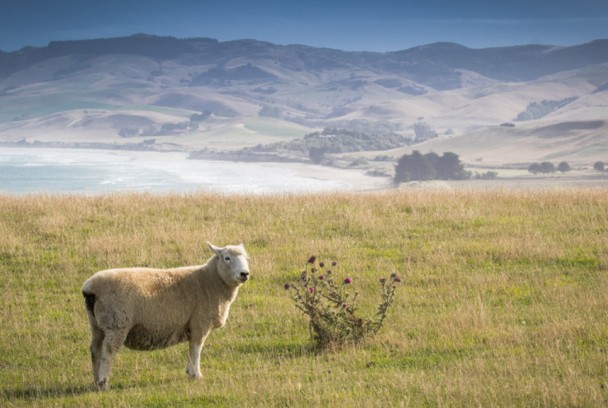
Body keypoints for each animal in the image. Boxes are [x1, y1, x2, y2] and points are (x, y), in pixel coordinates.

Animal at [82, 242, 248, 388]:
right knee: (108, 351)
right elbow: (196, 350)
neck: (211, 281)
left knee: (95, 349)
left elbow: (191, 350)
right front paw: (197, 375)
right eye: (227, 258)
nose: (244, 274)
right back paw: (103, 382)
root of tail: (89, 288)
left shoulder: (192, 326)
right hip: (117, 323)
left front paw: (190, 373)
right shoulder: (199, 324)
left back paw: (96, 381)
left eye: (247, 258)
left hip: (96, 324)